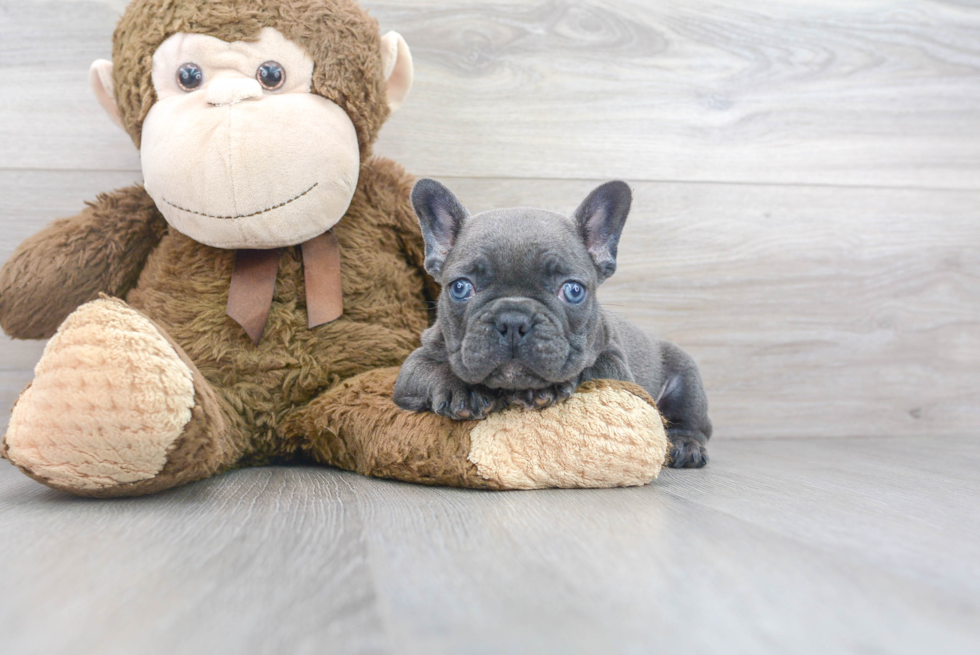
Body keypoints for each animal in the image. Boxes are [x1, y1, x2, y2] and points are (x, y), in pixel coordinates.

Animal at [392, 177, 712, 468]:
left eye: (573, 291)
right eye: (460, 287)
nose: (513, 320)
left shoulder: (616, 368)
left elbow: (589, 370)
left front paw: (543, 390)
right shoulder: (412, 367)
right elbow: (431, 369)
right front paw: (465, 390)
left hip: (686, 375)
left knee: (694, 422)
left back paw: (685, 445)